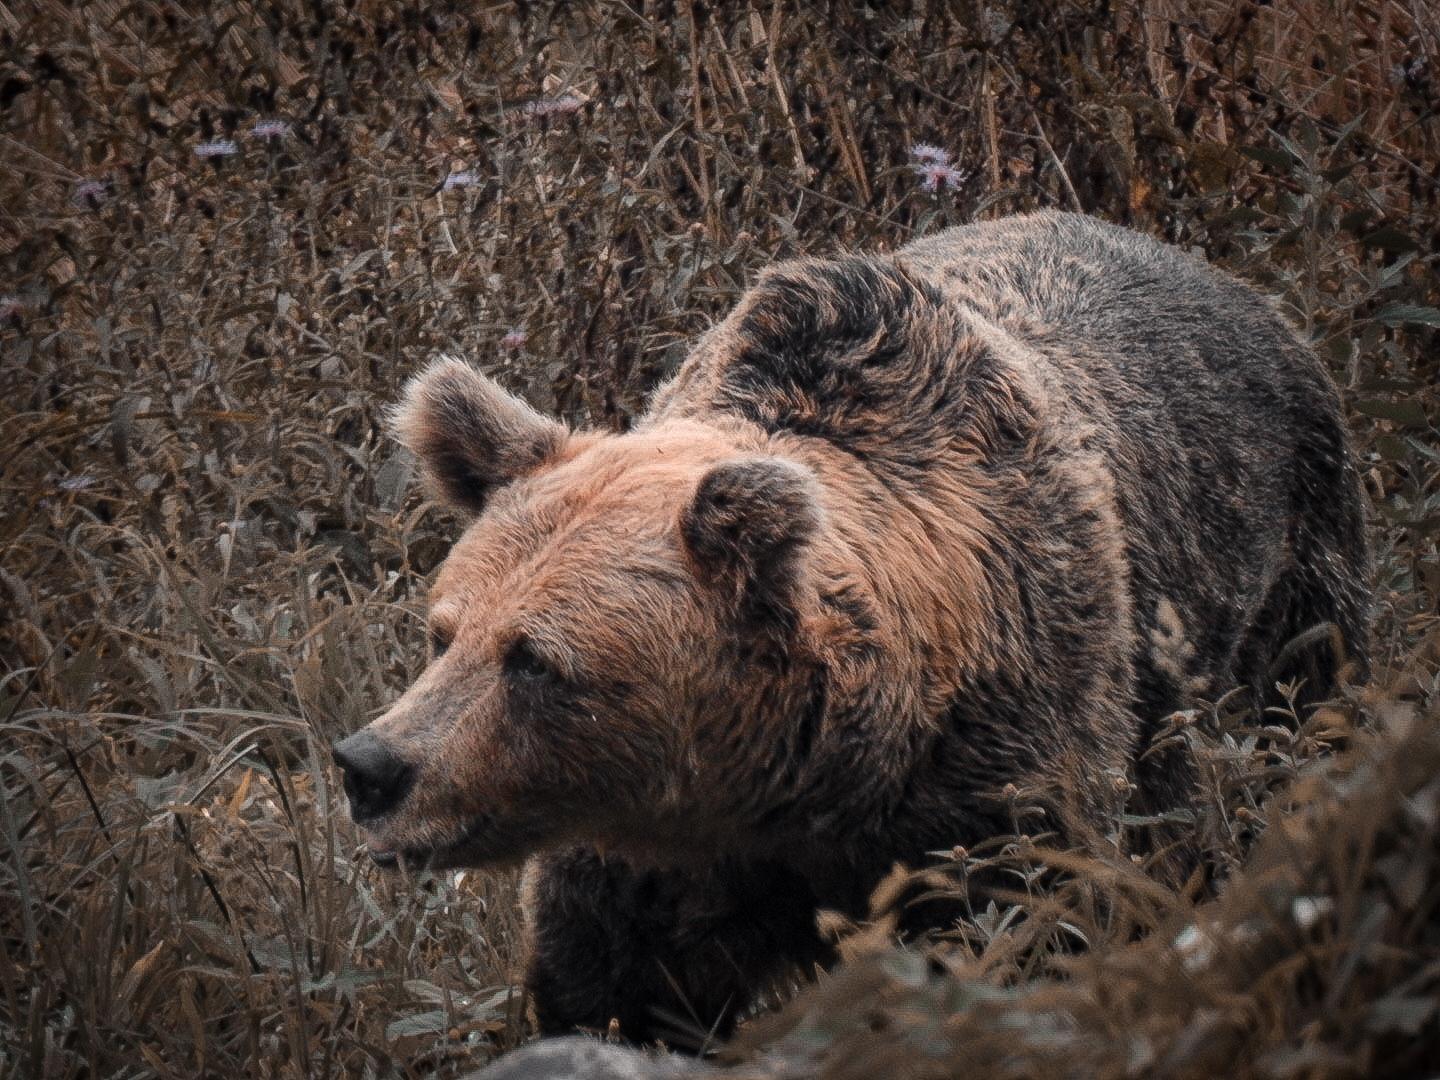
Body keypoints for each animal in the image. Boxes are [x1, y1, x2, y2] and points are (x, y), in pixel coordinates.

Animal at [334, 208, 1370, 1048]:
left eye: (537, 661)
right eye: (443, 632)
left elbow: (1031, 935)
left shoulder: (1004, 780)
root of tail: (1237, 285)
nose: (372, 766)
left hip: (1286, 578)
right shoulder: (650, 866)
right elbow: (614, 992)